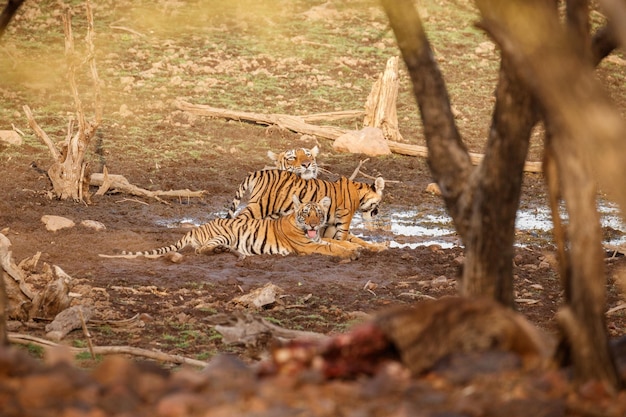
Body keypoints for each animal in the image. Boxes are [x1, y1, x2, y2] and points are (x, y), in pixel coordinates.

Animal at [224, 168, 386, 250]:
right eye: (378, 204)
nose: (377, 213)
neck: (359, 194)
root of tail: (259, 172)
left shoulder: (331, 225)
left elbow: (358, 239)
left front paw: (379, 247)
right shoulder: (345, 218)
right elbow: (345, 237)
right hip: (259, 205)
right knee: (239, 218)